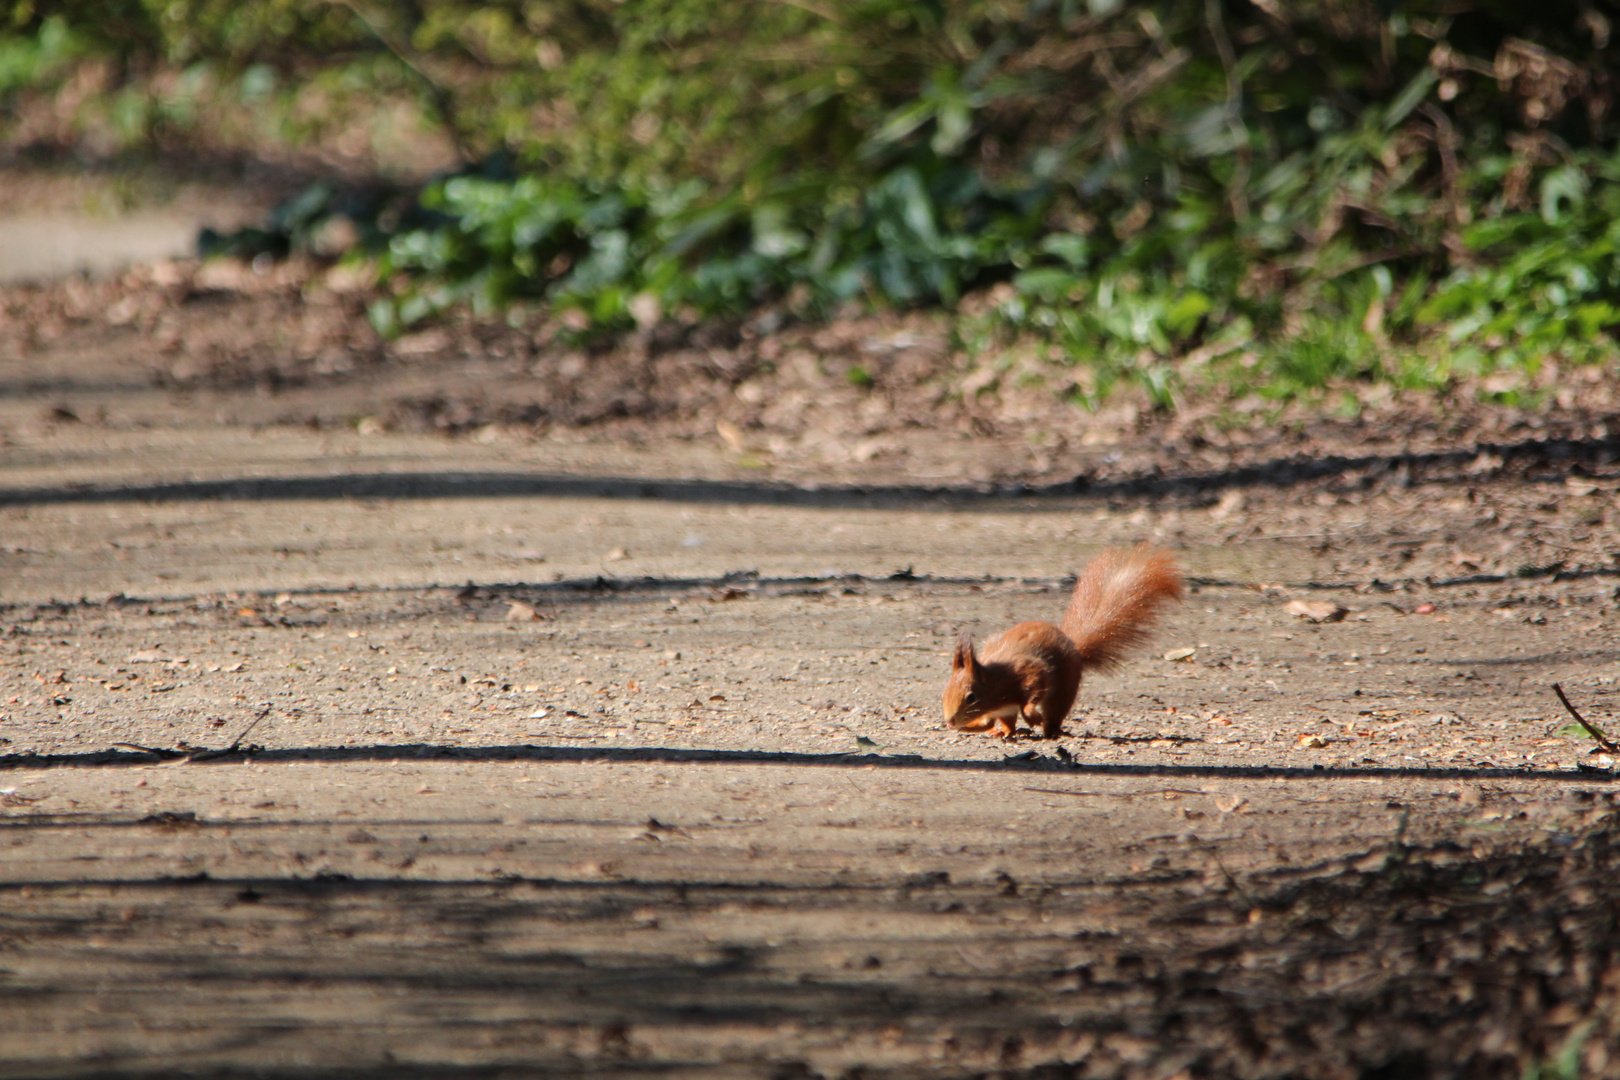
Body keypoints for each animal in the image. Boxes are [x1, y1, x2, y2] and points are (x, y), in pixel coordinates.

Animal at [946, 544, 1185, 738]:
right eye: (945, 691)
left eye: (971, 697)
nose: (950, 720)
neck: (995, 683)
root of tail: (1074, 647)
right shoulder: (998, 708)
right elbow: (987, 722)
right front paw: (974, 727)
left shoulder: (1025, 671)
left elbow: (1035, 684)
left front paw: (1032, 715)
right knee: (1009, 724)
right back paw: (1003, 732)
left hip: (1063, 690)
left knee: (1054, 712)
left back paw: (1050, 730)